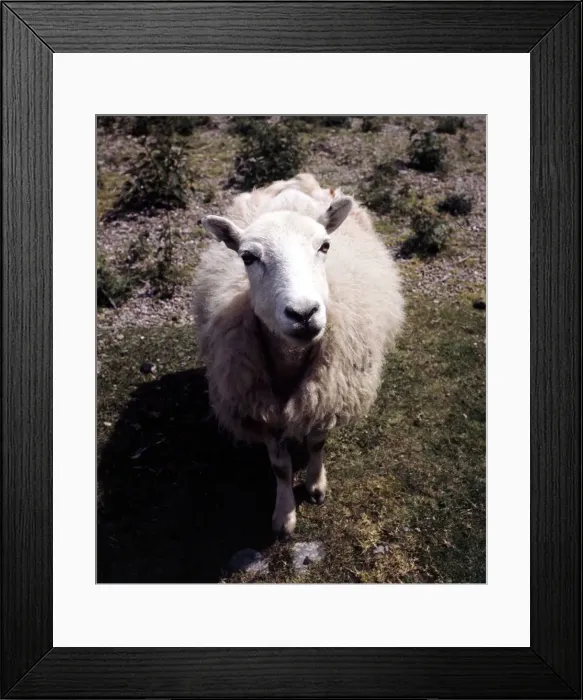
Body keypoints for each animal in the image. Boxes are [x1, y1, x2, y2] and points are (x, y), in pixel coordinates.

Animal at [194, 173, 404, 538]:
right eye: (247, 257)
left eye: (325, 246)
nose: (303, 314)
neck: (291, 361)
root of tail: (295, 180)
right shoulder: (261, 407)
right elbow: (280, 467)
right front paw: (284, 515)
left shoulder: (325, 394)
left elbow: (317, 443)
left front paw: (315, 486)